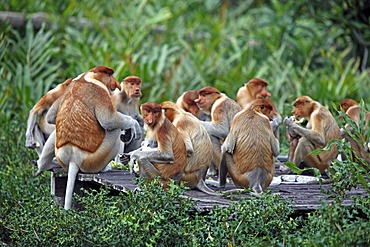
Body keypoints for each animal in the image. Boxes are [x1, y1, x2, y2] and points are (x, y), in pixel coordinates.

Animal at [36, 66, 140, 210]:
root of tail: (73, 158)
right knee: (114, 130)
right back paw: (106, 168)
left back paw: (41, 166)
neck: (87, 77)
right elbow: (109, 120)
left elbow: (51, 116)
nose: (116, 83)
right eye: (109, 74)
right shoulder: (100, 91)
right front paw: (134, 124)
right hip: (94, 159)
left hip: (62, 156)